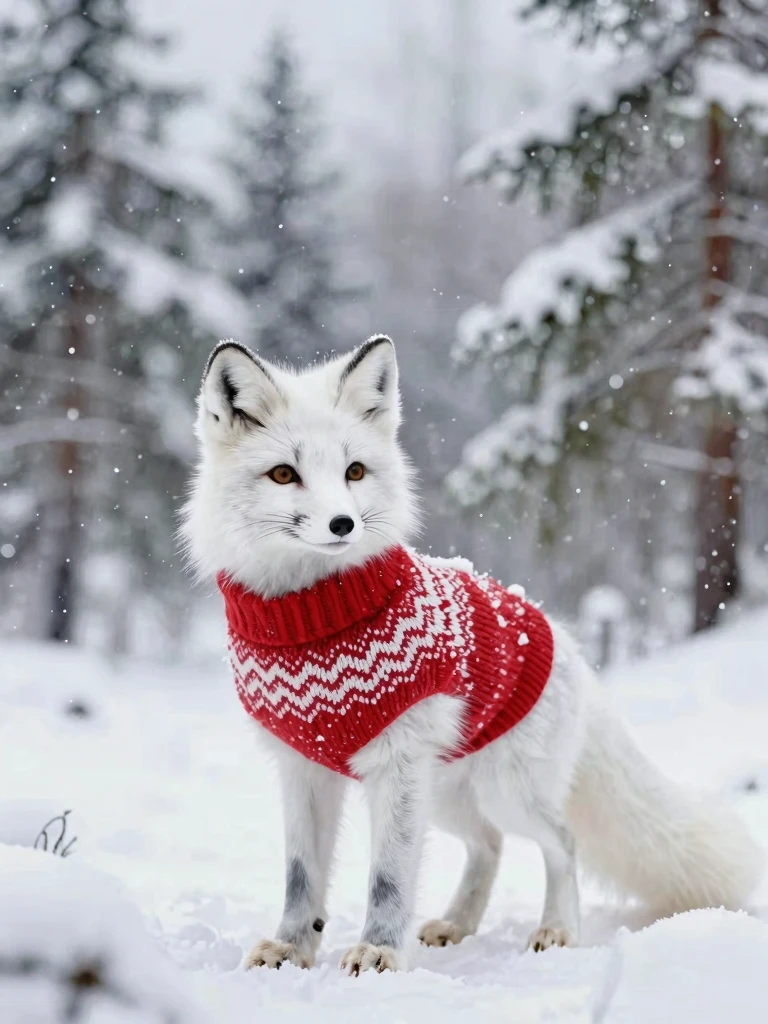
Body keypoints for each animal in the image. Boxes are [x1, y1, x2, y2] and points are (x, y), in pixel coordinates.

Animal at [183, 334, 763, 977]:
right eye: (284, 474)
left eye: (354, 471)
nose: (343, 524)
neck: (313, 622)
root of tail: (565, 640)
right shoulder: (303, 768)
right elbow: (300, 878)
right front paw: (291, 949)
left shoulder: (397, 764)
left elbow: (388, 880)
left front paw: (380, 952)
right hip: (445, 799)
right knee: (490, 844)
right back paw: (458, 924)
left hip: (499, 793)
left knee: (560, 840)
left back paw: (558, 929)